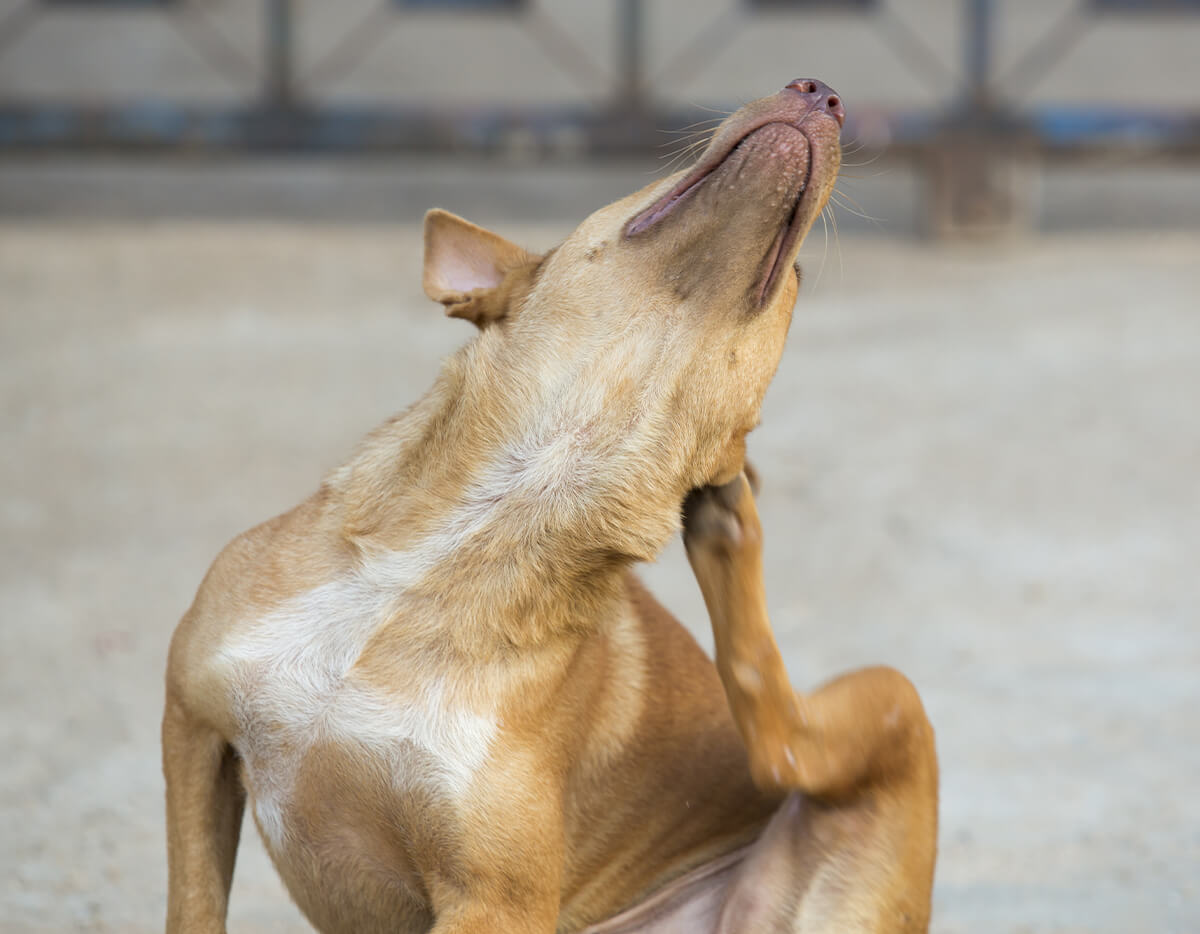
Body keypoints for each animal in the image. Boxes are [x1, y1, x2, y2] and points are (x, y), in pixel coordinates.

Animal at [164, 81, 940, 931]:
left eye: (796, 271)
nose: (823, 91)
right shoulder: (192, 731)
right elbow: (193, 908)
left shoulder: (492, 903)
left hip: (893, 708)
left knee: (783, 740)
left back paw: (729, 529)